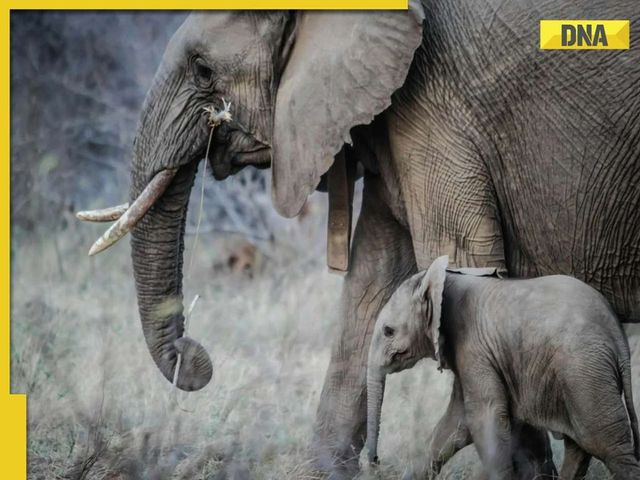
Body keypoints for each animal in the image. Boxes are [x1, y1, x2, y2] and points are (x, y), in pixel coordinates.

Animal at [364, 256, 640, 480]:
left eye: (388, 331)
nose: (375, 461)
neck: (444, 279)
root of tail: (617, 335)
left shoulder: (474, 347)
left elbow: (485, 418)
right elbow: (455, 424)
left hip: (583, 370)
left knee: (606, 444)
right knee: (580, 445)